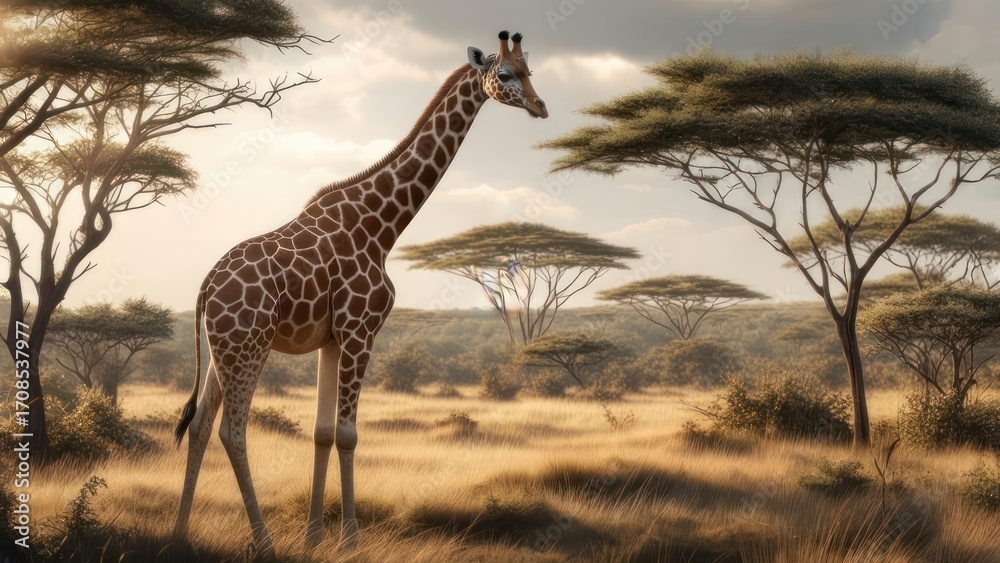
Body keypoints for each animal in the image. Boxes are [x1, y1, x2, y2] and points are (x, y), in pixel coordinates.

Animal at [172, 31, 547, 556]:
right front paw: (350, 540)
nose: (540, 106)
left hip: (221, 350)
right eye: (507, 74)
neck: (382, 225)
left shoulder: (332, 339)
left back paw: (180, 535)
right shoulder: (360, 330)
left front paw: (314, 537)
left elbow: (322, 432)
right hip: (249, 346)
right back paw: (264, 543)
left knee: (201, 425)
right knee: (233, 430)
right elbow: (348, 434)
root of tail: (205, 287)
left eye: (532, 71)